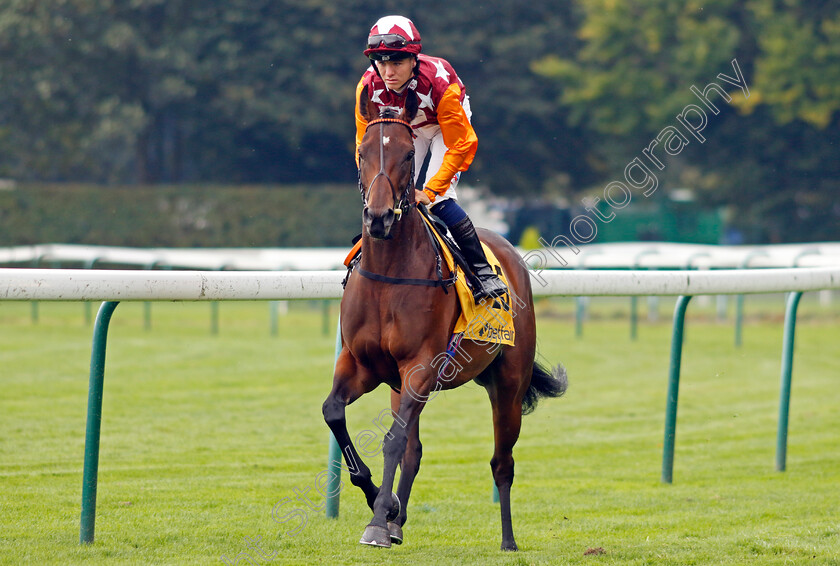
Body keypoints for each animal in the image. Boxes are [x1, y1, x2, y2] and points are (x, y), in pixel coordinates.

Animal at [320, 93, 564, 556]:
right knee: (414, 450)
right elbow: (335, 414)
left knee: (502, 461)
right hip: (404, 385)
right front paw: (383, 505)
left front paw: (378, 522)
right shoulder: (362, 365)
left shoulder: (421, 365)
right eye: (362, 153)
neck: (390, 274)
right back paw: (398, 521)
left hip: (508, 383)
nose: (378, 218)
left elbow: (392, 440)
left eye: (407, 154)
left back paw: (508, 540)